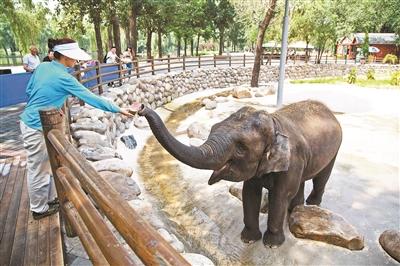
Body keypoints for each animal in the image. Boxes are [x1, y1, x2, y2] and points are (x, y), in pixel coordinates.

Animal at [137, 100, 340, 247]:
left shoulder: (292, 161)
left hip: (335, 148)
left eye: (241, 149)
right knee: (302, 182)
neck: (275, 123)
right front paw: (248, 240)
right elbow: (249, 192)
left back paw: (312, 205)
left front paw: (271, 245)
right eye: (212, 128)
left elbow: (279, 196)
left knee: (321, 178)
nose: (141, 108)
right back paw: (294, 209)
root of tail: (329, 110)